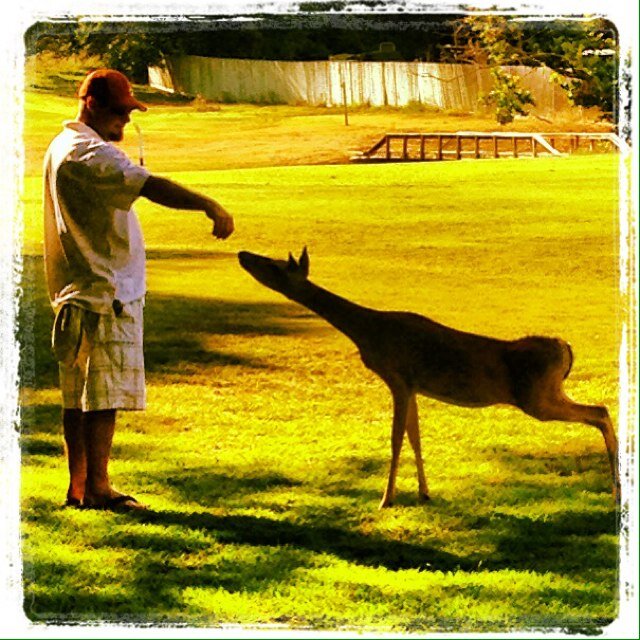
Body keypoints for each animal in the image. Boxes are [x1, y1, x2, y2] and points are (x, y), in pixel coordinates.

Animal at [236, 248, 620, 508]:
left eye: (273, 265)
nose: (243, 255)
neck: (368, 333)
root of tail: (566, 349)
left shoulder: (397, 376)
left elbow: (396, 440)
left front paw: (386, 499)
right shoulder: (413, 385)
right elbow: (415, 438)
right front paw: (423, 492)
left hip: (536, 398)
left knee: (599, 412)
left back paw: (617, 491)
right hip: (549, 392)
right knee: (600, 409)